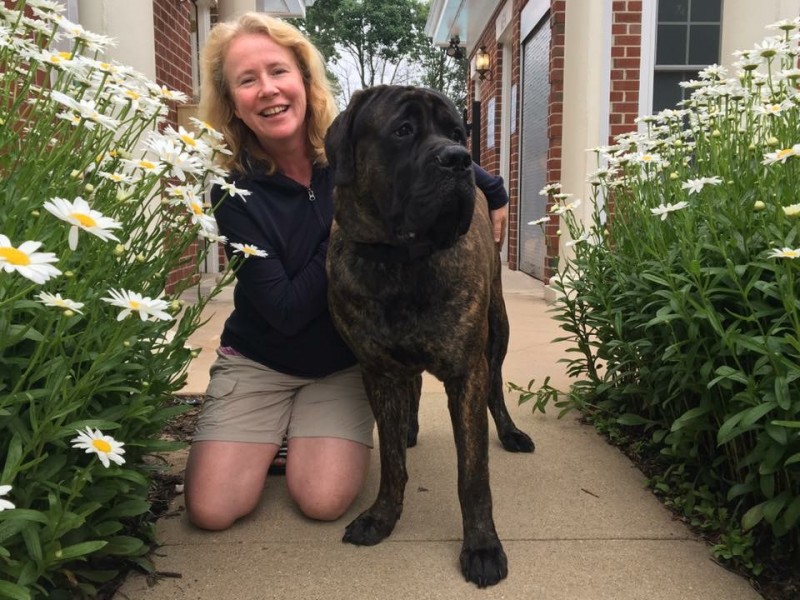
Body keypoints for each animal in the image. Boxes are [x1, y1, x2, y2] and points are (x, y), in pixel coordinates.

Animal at [322, 86, 536, 588]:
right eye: (403, 130)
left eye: (457, 133)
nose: (459, 160)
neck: (401, 262)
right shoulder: (377, 370)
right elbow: (390, 460)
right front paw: (382, 516)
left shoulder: (466, 371)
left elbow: (473, 474)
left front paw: (482, 546)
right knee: (413, 387)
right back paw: (410, 427)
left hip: (497, 332)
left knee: (496, 389)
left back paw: (510, 433)